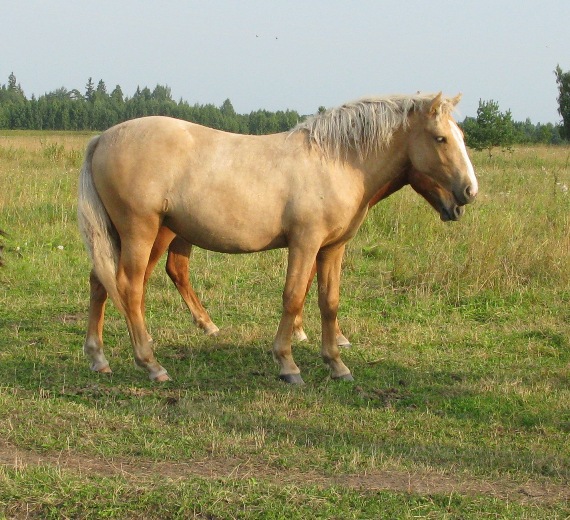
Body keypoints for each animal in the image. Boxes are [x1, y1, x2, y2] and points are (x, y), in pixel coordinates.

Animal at [75, 93, 474, 384]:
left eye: (462, 137)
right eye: (440, 138)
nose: (469, 192)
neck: (335, 161)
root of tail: (102, 138)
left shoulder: (331, 248)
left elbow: (328, 301)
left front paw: (337, 364)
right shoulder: (305, 243)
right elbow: (293, 297)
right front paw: (288, 364)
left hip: (119, 235)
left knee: (100, 282)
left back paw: (98, 357)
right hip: (141, 231)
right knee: (130, 287)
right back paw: (151, 363)